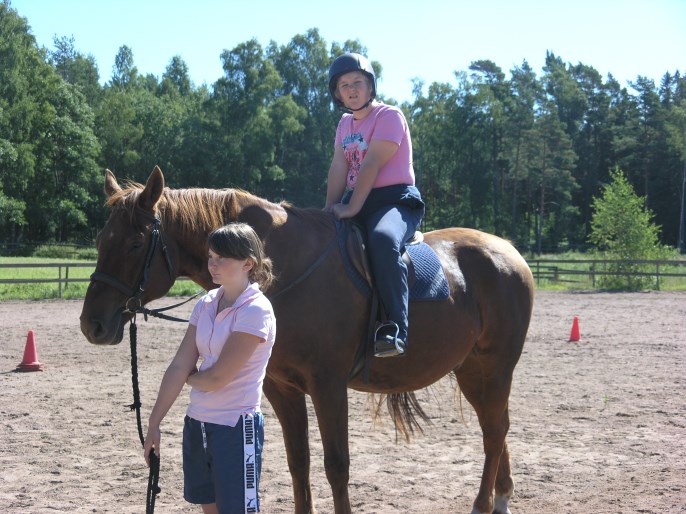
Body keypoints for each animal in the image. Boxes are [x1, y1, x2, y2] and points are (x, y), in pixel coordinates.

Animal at [80, 166, 536, 510]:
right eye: (101, 240)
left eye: (136, 243)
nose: (92, 325)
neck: (282, 270)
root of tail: (508, 250)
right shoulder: (281, 386)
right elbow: (298, 460)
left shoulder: (328, 385)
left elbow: (337, 464)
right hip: (472, 370)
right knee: (496, 428)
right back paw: (502, 496)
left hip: (495, 367)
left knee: (495, 430)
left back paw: (485, 504)